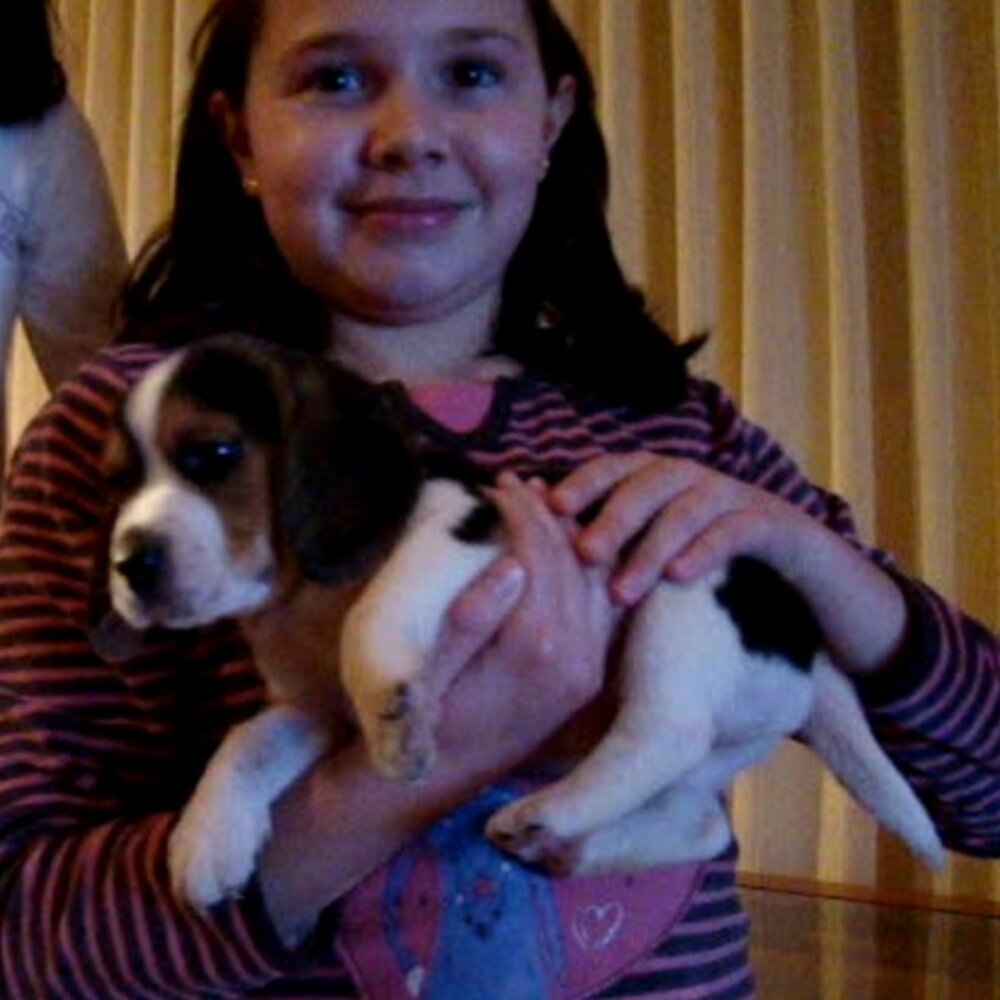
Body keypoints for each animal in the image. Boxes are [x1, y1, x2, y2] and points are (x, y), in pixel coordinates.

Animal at [103, 333, 944, 911]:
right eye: (119, 482)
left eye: (214, 453)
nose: (130, 563)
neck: (303, 595)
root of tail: (806, 638)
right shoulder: (315, 709)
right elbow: (246, 740)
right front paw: (207, 839)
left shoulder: (467, 527)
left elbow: (373, 617)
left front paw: (394, 707)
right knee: (700, 816)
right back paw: (569, 842)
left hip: (680, 596)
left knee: (662, 729)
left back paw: (553, 808)